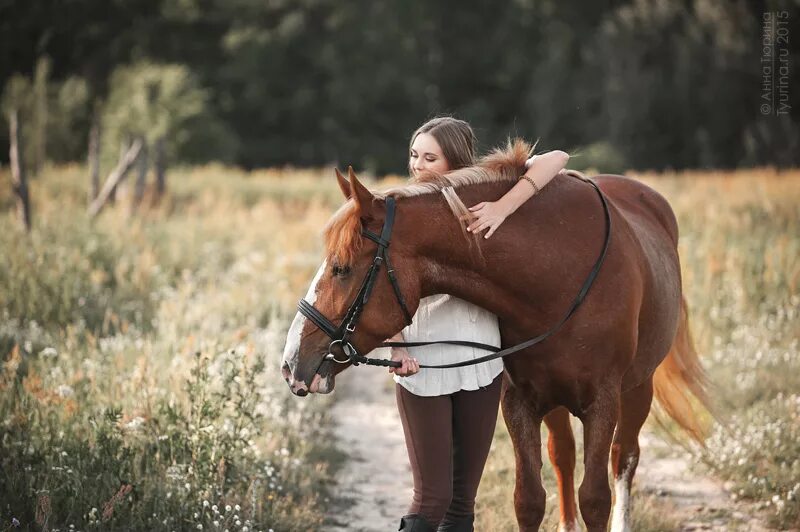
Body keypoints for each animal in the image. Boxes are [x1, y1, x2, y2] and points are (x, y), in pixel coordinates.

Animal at [282, 139, 712, 528]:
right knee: (563, 455)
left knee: (624, 457)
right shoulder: (518, 401)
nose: (290, 364)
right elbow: (529, 499)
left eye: (341, 268)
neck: (558, 274)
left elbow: (595, 499)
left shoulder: (603, 403)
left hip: (638, 388)